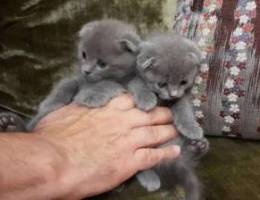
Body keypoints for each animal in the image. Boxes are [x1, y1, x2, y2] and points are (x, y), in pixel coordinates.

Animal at [132, 33, 209, 199]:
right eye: (161, 84)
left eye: (183, 82)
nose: (172, 94)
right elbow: (138, 84)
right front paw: (147, 100)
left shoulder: (182, 96)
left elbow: (183, 107)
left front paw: (191, 128)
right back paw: (150, 178)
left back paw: (198, 146)